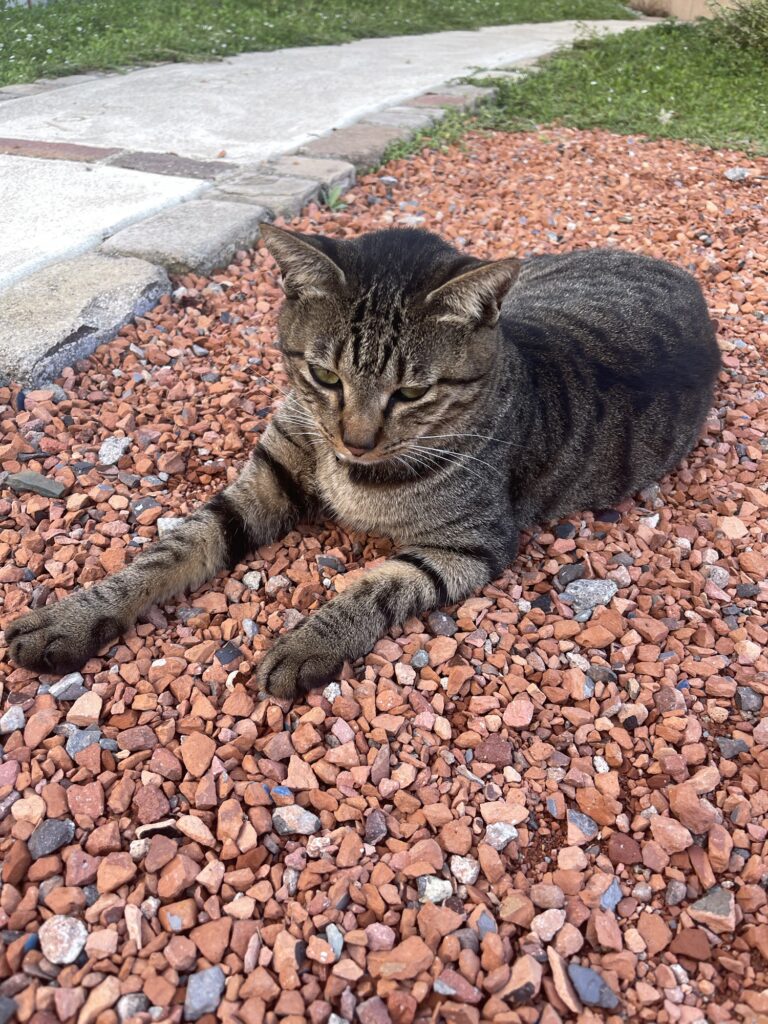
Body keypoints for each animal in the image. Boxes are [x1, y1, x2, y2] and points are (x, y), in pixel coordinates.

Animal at [6, 224, 721, 700]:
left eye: (411, 392)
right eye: (325, 376)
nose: (355, 440)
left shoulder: (468, 546)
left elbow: (377, 586)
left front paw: (308, 642)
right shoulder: (265, 478)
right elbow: (169, 551)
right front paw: (73, 617)